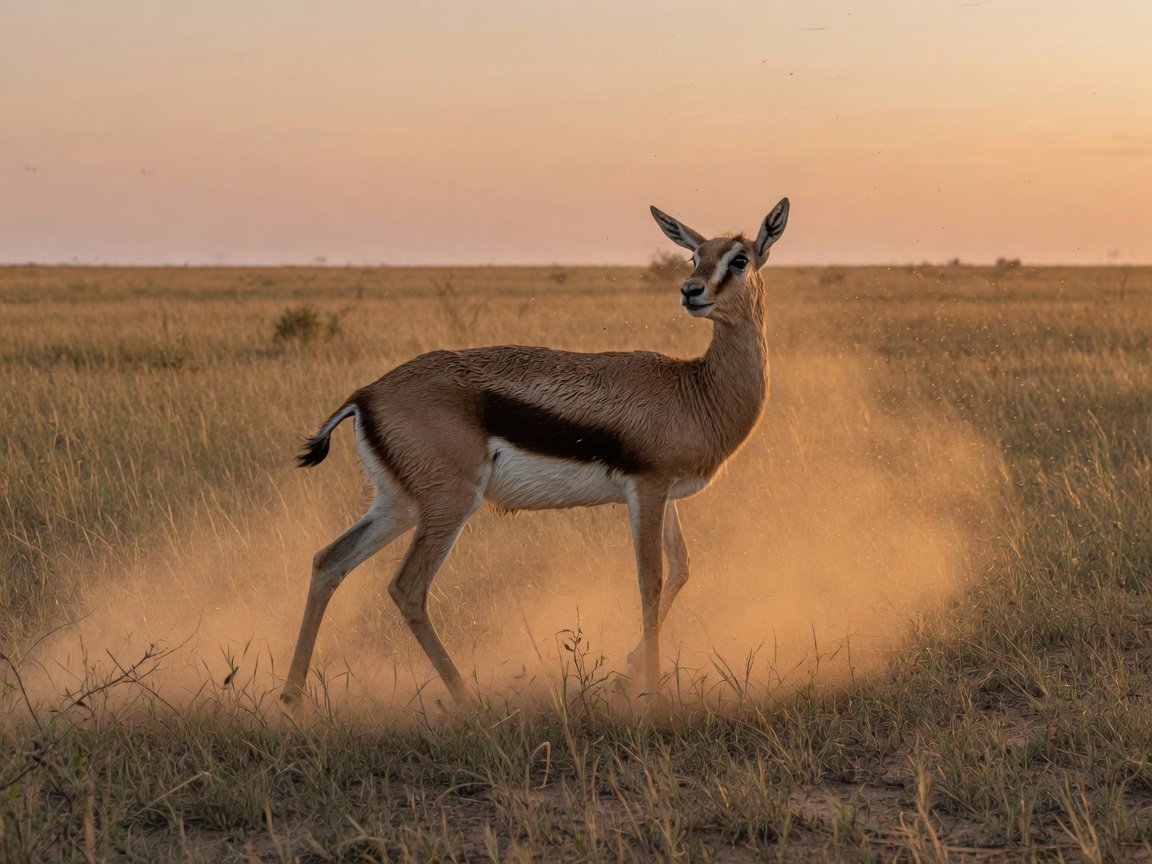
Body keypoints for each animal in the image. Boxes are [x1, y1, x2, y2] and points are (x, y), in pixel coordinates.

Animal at [281, 199, 790, 707]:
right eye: (694, 256)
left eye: (738, 259)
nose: (690, 291)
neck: (695, 390)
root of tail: (365, 395)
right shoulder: (646, 489)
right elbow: (651, 579)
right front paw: (652, 692)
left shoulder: (663, 493)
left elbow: (681, 568)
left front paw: (626, 674)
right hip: (449, 504)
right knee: (407, 588)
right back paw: (466, 700)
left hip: (400, 504)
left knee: (329, 561)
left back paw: (292, 698)